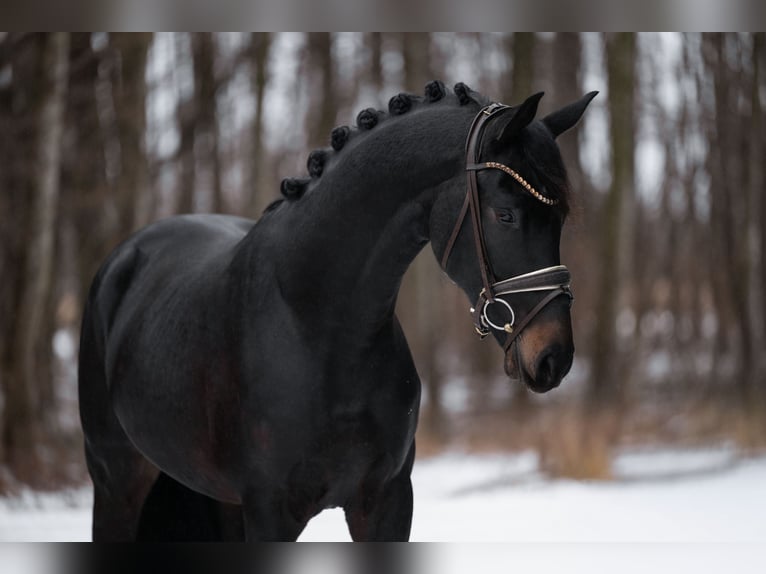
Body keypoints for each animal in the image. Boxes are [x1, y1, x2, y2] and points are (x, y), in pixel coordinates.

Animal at [78, 81, 596, 541]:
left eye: (560, 218)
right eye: (504, 214)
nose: (553, 356)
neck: (316, 327)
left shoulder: (385, 503)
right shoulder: (270, 513)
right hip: (116, 483)